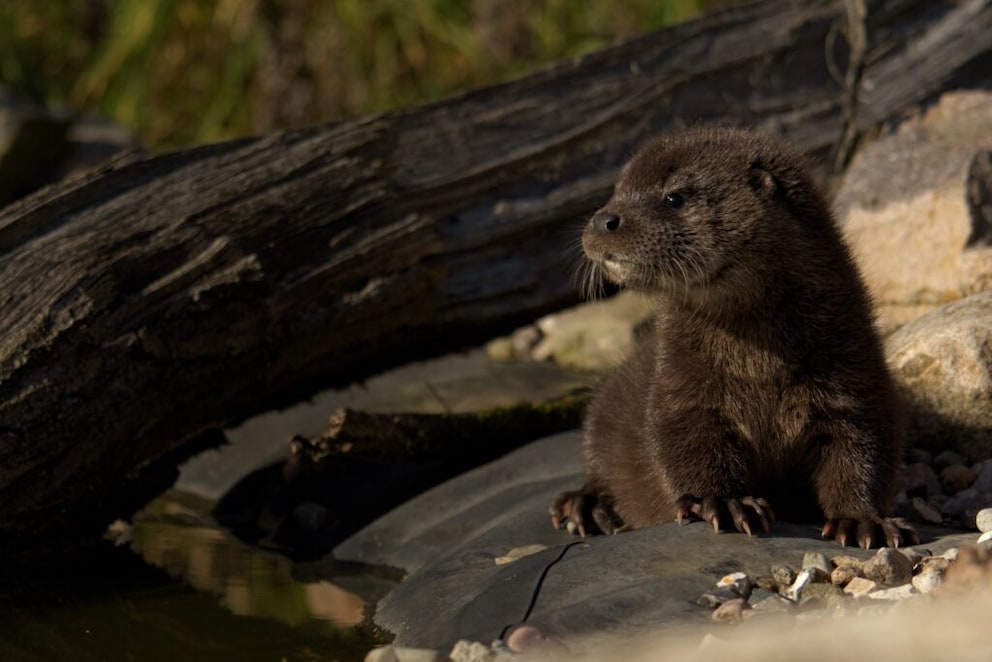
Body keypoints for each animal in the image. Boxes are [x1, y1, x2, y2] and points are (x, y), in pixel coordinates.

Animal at [550, 127, 915, 548]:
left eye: (674, 197)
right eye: (617, 190)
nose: (603, 219)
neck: (758, 366)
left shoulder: (854, 374)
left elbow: (863, 449)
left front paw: (863, 521)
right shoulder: (678, 385)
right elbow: (680, 442)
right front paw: (725, 503)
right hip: (604, 411)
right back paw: (585, 506)